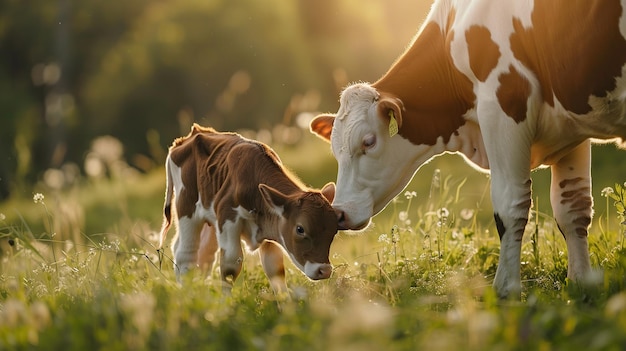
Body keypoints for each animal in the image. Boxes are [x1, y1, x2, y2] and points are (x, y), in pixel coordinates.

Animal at [158, 124, 338, 294]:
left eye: (334, 230)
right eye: (300, 229)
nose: (324, 270)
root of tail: (188, 137)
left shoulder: (269, 225)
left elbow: (275, 269)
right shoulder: (227, 217)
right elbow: (230, 266)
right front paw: (225, 303)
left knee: (203, 254)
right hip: (187, 208)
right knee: (186, 255)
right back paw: (188, 293)